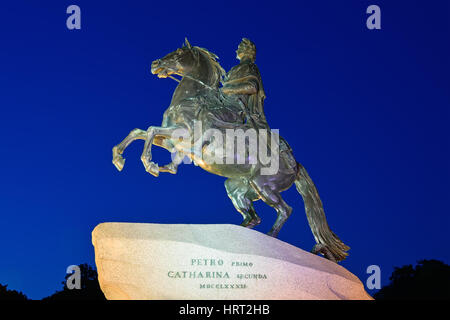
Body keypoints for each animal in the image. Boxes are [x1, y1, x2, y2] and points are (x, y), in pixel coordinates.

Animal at [110, 38, 350, 262]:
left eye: (178, 53)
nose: (155, 64)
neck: (190, 100)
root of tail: (296, 165)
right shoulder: (169, 139)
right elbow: (139, 132)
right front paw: (119, 158)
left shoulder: (184, 137)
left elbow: (149, 131)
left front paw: (150, 164)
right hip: (237, 188)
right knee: (254, 217)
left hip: (264, 186)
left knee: (285, 210)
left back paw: (271, 238)